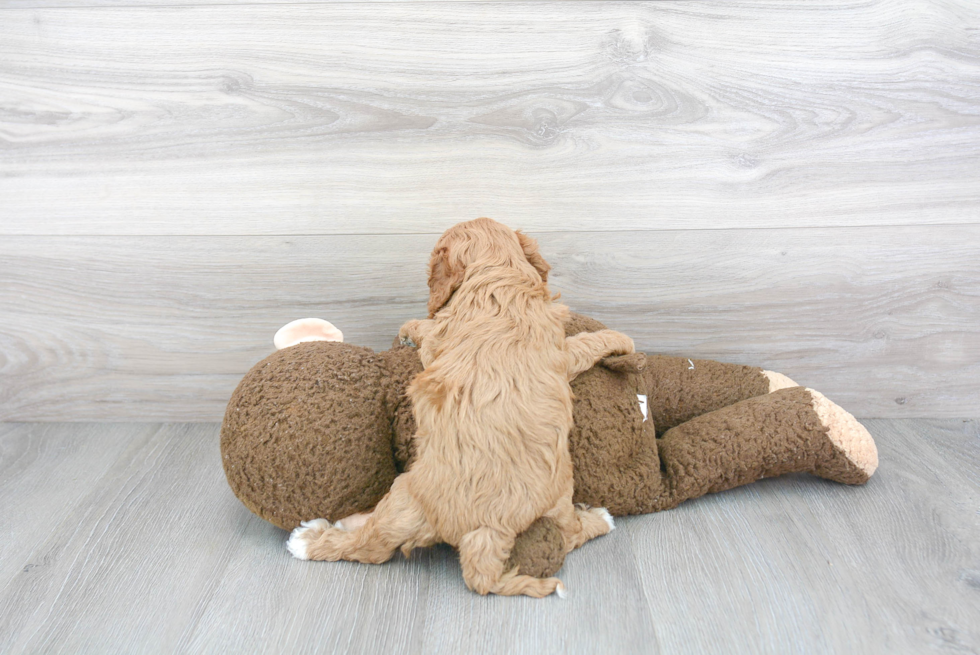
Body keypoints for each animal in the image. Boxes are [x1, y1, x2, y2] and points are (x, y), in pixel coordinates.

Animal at [288, 218, 636, 596]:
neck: (497, 274)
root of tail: (487, 530)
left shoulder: (441, 342)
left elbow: (426, 329)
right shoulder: (560, 351)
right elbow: (585, 343)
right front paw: (622, 339)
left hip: (405, 497)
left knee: (371, 546)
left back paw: (310, 539)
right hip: (547, 496)